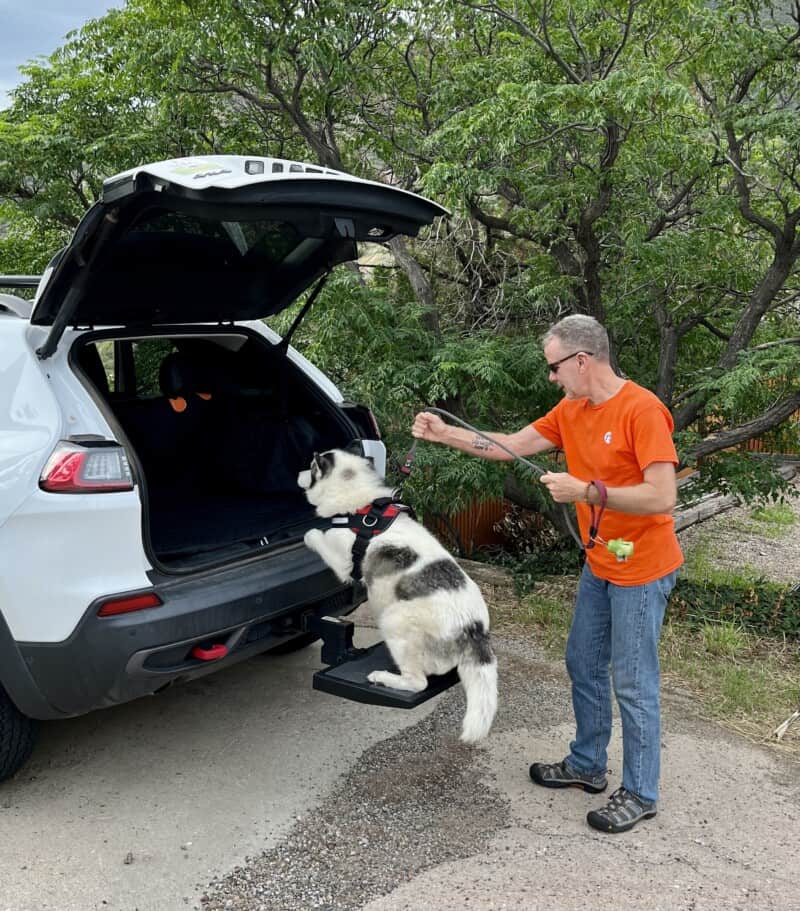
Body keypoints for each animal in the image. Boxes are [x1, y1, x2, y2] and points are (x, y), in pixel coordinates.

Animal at [296, 448, 496, 740]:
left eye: (310, 468)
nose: (297, 473)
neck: (359, 506)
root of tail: (473, 629)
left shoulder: (342, 561)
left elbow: (315, 535)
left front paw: (309, 533)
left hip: (393, 621)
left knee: (418, 683)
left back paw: (385, 677)